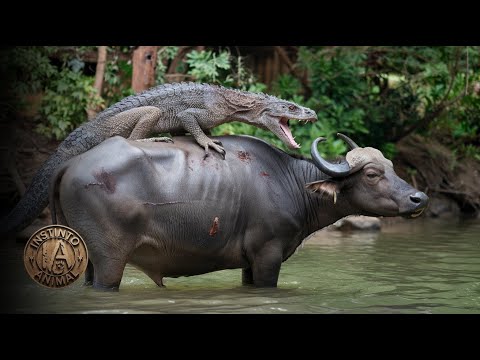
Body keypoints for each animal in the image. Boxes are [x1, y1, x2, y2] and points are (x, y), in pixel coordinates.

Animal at [50, 134, 430, 290]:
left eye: (392, 167)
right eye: (372, 174)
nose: (419, 198)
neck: (290, 182)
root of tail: (71, 164)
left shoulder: (250, 262)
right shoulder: (267, 255)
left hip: (85, 258)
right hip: (109, 259)